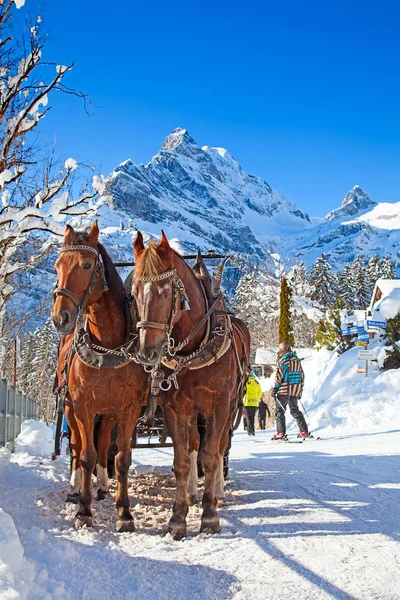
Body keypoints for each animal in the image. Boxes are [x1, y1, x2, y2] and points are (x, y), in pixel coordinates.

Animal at [51, 221, 147, 528]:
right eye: (57, 265)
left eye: (86, 264)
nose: (60, 318)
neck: (107, 345)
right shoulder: (82, 406)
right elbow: (86, 454)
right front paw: (84, 509)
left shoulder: (127, 408)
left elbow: (121, 457)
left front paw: (124, 512)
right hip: (70, 408)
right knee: (76, 446)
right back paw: (75, 488)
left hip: (108, 413)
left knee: (104, 443)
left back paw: (103, 487)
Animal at [131, 231, 250, 540]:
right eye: (134, 291)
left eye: (165, 291)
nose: (147, 352)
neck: (195, 347)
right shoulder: (175, 408)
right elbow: (183, 459)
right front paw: (178, 517)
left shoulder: (219, 405)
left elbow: (211, 456)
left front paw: (210, 516)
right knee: (196, 443)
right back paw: (194, 493)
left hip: (229, 407)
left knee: (219, 447)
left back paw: (217, 493)